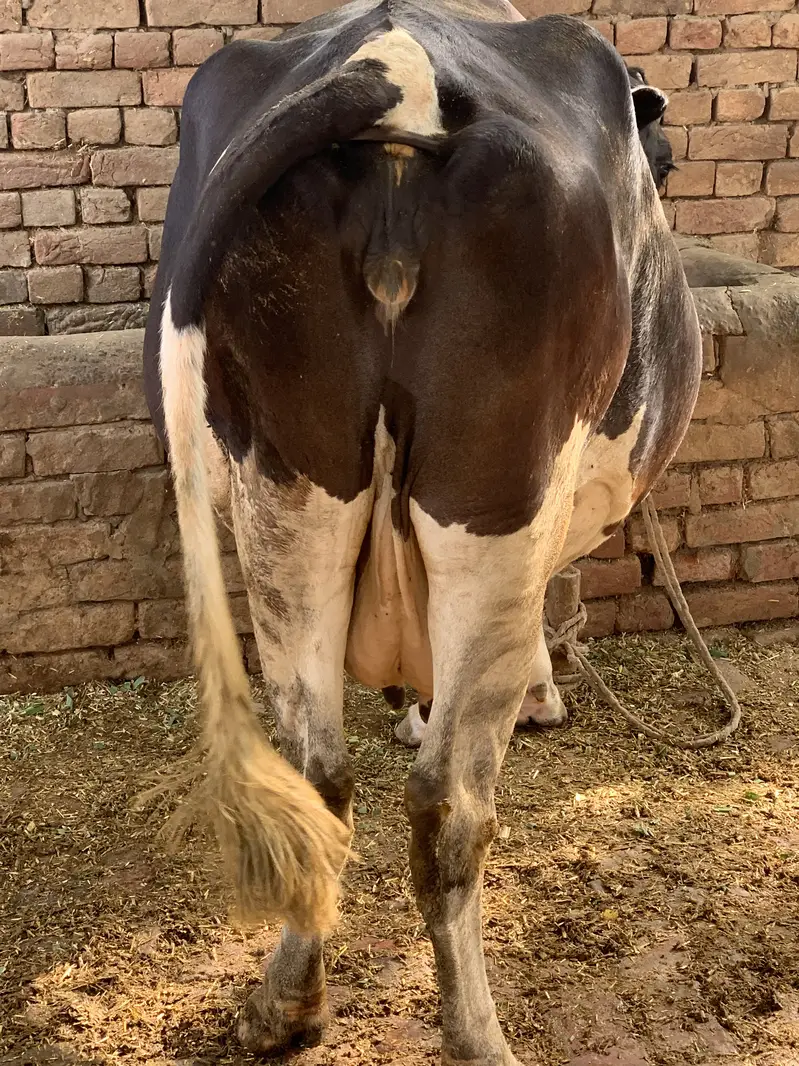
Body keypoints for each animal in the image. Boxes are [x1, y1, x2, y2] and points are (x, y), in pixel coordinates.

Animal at [143, 1, 701, 1062]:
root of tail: (393, 61)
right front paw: (531, 696)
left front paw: (408, 700)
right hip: (496, 500)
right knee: (449, 805)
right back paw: (476, 1033)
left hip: (284, 490)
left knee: (318, 774)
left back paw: (284, 1005)